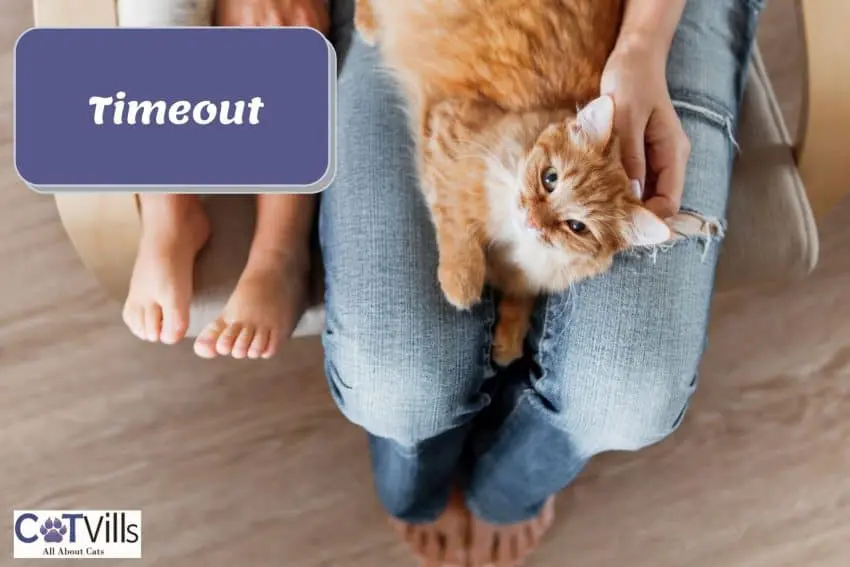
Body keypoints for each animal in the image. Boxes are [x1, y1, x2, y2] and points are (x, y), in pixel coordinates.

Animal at [352, 0, 668, 366]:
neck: (512, 245)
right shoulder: (448, 134)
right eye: (550, 178)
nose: (533, 219)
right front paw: (462, 284)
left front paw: (507, 342)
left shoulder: (528, 280)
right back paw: (367, 24)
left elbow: (520, 302)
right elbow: (457, 226)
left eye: (577, 227)